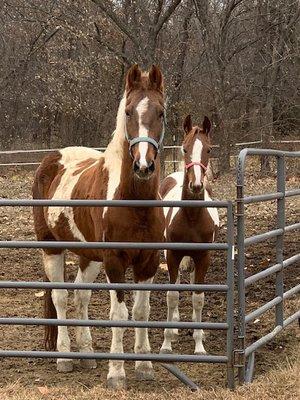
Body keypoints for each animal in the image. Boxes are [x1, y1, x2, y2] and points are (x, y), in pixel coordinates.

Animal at [32, 65, 166, 388]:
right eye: (129, 112)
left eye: (161, 112)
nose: (144, 166)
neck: (133, 203)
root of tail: (51, 159)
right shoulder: (115, 261)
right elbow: (118, 314)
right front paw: (116, 373)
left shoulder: (148, 261)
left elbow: (141, 311)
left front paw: (145, 366)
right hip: (51, 248)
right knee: (60, 297)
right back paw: (65, 358)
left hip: (89, 256)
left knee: (80, 296)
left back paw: (88, 354)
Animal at [158, 114, 219, 354]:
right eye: (184, 149)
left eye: (209, 149)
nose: (196, 185)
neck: (191, 217)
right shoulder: (173, 255)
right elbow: (172, 295)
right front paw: (166, 343)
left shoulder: (203, 257)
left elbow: (198, 298)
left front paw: (199, 344)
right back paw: (174, 326)